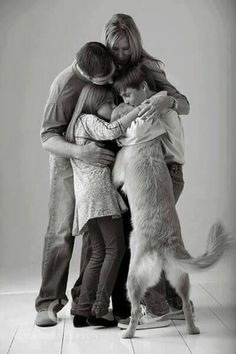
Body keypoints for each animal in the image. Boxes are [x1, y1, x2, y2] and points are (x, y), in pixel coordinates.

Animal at [111, 103, 231, 338]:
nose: (117, 137)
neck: (146, 140)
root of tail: (165, 242)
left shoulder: (117, 172)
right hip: (180, 277)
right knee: (185, 304)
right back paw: (192, 329)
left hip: (134, 277)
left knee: (136, 309)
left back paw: (128, 332)